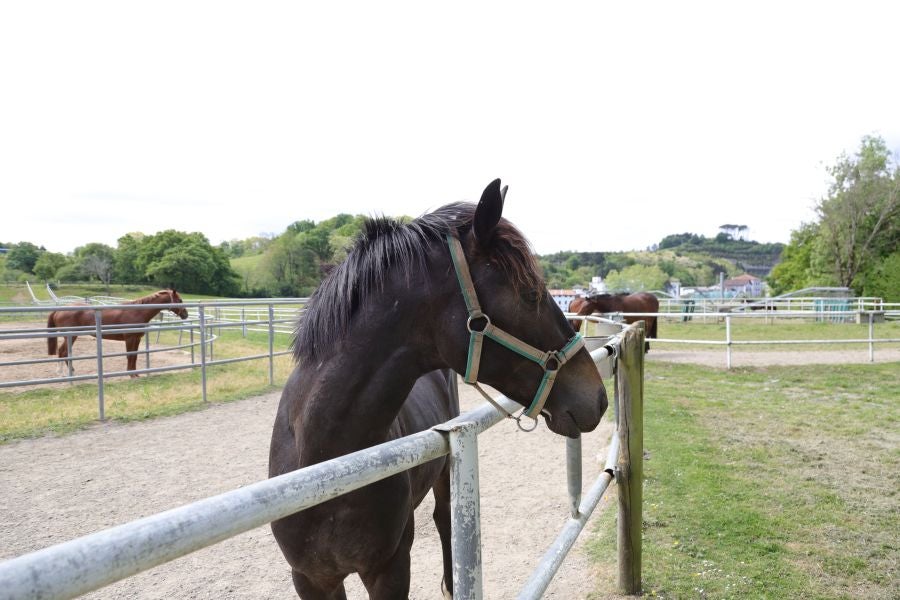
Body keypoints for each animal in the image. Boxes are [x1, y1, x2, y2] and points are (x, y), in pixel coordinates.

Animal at [47, 290, 188, 378]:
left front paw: (136, 374)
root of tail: (58, 311)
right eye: (179, 300)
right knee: (63, 352)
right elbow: (130, 356)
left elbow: (134, 356)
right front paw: (131, 375)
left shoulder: (137, 339)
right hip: (71, 336)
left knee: (64, 353)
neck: (137, 311)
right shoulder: (130, 339)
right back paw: (63, 373)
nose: (185, 314)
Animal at [266, 180, 604, 600]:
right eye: (530, 294)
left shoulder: (392, 569)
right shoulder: (310, 579)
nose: (598, 397)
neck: (327, 468)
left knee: (445, 522)